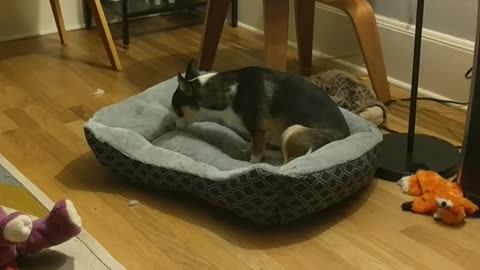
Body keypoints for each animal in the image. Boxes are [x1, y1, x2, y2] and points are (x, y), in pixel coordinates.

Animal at [171, 59, 350, 163]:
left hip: (292, 131)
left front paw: (250, 164)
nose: (175, 126)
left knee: (288, 162)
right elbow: (254, 146)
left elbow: (255, 154)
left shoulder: (259, 131)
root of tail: (347, 135)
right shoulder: (257, 135)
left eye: (178, 112)